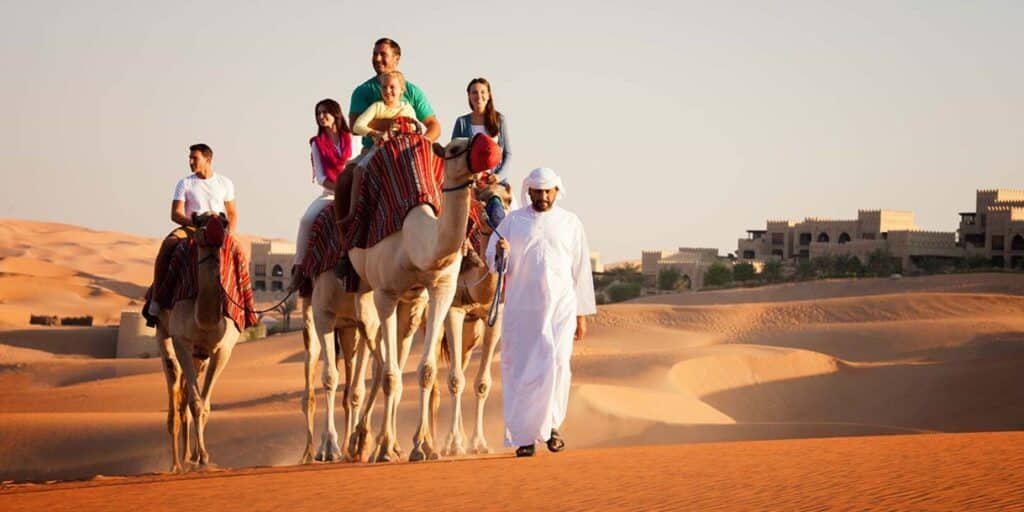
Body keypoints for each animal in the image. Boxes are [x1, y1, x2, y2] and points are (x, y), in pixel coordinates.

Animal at [155, 213, 241, 473]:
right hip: (165, 335)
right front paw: (201, 456)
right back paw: (176, 464)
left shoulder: (222, 350)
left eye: (224, 221)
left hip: (199, 356)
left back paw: (187, 457)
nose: (215, 231)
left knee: (184, 398)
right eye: (200, 220)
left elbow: (205, 405)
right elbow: (195, 403)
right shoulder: (181, 340)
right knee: (174, 387)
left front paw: (201, 457)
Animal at [349, 136, 489, 462]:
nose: (487, 147)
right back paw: (356, 445)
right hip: (357, 291)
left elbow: (424, 370)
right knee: (369, 358)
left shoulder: (438, 290)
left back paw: (379, 442)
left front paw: (421, 447)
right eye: (454, 149)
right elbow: (390, 375)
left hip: (409, 305)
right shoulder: (385, 293)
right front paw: (386, 449)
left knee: (389, 360)